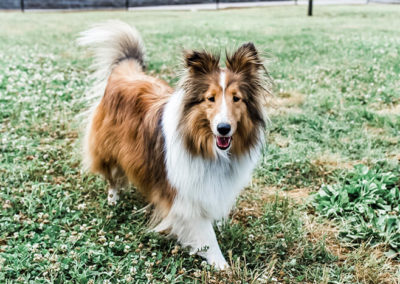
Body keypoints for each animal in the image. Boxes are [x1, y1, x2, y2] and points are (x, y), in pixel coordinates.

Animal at [78, 21, 268, 270]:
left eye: (237, 98)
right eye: (210, 98)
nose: (223, 128)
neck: (206, 148)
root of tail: (125, 71)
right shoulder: (186, 198)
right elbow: (206, 234)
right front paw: (221, 265)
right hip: (108, 149)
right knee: (112, 177)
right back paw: (113, 200)